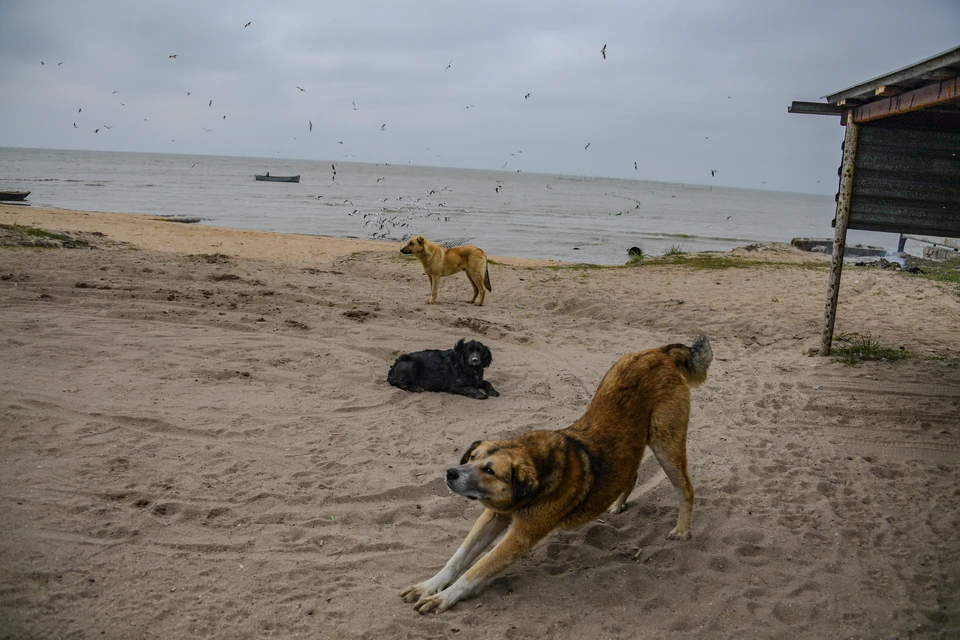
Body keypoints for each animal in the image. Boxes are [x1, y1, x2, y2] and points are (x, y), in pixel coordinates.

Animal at [400, 332, 712, 612]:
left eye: (489, 470)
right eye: (472, 458)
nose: (450, 473)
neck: (536, 472)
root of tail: (661, 351)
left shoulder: (521, 535)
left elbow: (475, 570)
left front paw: (443, 597)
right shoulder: (493, 516)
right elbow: (458, 558)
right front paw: (429, 585)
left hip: (665, 443)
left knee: (686, 488)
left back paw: (681, 530)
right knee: (631, 473)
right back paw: (617, 504)